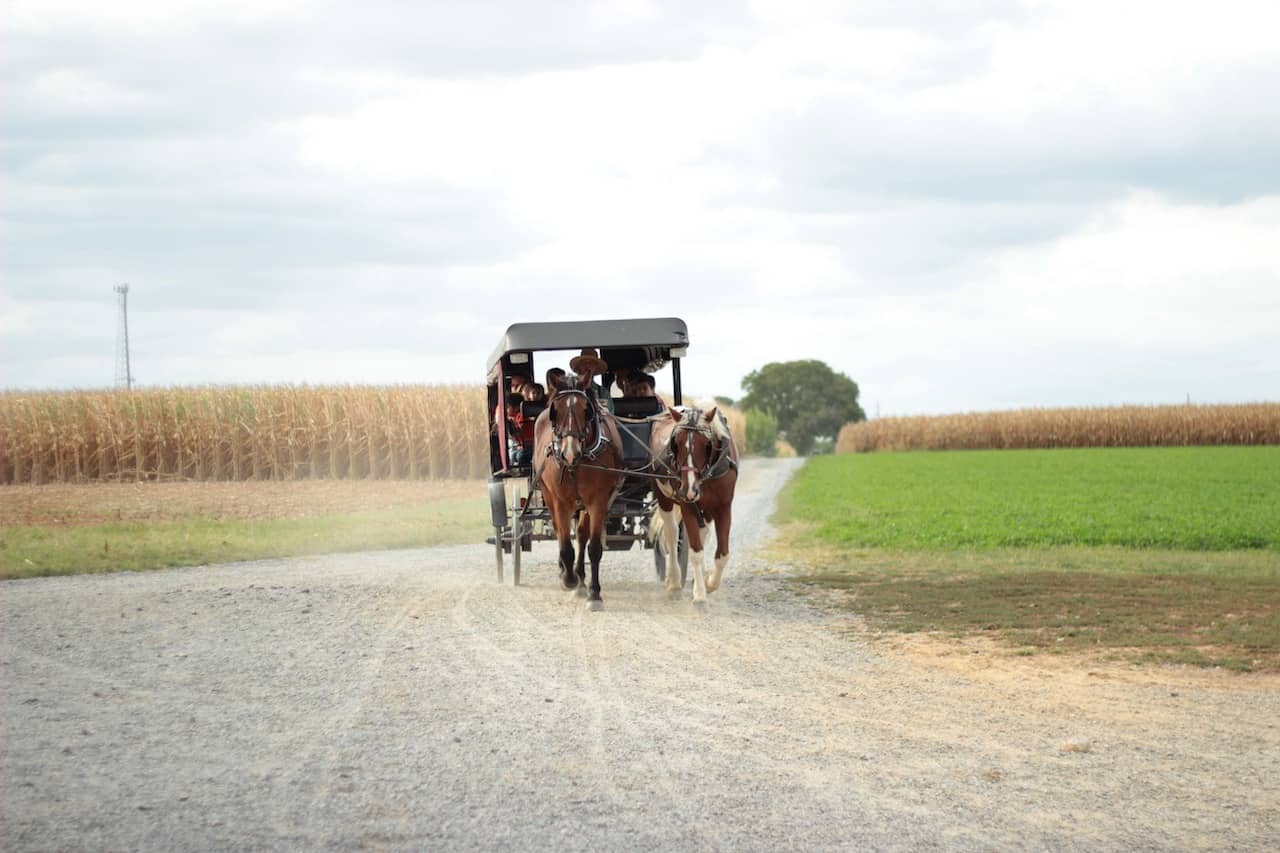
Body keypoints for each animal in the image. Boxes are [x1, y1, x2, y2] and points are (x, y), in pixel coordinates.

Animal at [532, 371, 627, 604]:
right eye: (555, 411)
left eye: (586, 410)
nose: (569, 453)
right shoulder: (560, 502)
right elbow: (566, 546)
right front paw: (568, 579)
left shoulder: (598, 501)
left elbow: (594, 547)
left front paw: (594, 592)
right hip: (548, 495)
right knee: (559, 531)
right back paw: (566, 573)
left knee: (582, 536)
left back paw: (582, 579)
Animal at [650, 407, 742, 601]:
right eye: (676, 443)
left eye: (707, 444)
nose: (689, 489)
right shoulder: (688, 506)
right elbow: (696, 551)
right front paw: (699, 594)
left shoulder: (723, 508)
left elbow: (722, 555)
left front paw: (709, 584)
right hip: (664, 498)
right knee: (671, 533)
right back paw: (674, 580)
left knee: (702, 532)